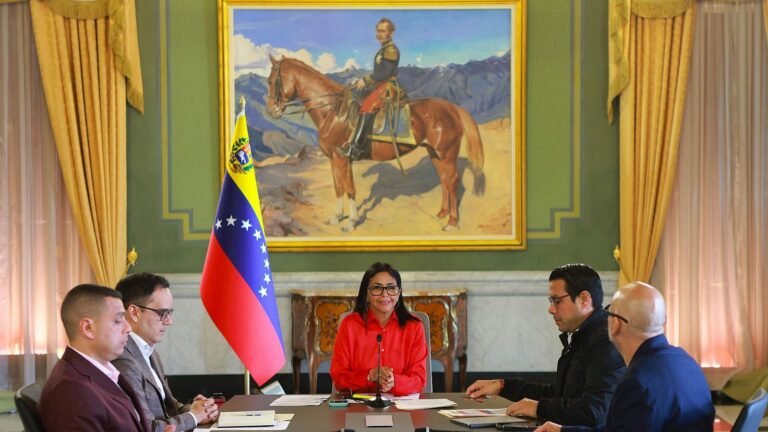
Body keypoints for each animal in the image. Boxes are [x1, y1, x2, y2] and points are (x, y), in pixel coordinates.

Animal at [265, 56, 485, 232]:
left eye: (272, 81)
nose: (270, 111)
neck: (333, 112)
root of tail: (452, 108)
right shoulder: (335, 159)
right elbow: (339, 187)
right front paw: (337, 217)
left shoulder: (342, 158)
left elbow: (349, 189)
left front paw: (351, 222)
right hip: (435, 153)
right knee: (445, 180)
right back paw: (442, 214)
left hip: (447, 153)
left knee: (452, 180)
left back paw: (452, 222)